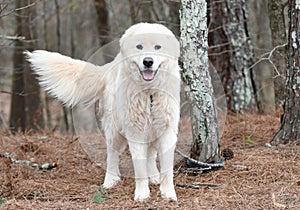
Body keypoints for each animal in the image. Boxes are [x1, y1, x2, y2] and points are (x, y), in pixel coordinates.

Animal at [25, 22, 180, 201]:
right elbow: (139, 166)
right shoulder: (135, 131)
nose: (148, 62)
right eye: (139, 46)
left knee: (150, 155)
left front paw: (168, 194)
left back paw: (154, 177)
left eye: (158, 46)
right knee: (112, 155)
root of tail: (110, 65)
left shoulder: (166, 130)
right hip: (115, 130)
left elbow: (166, 168)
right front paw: (142, 195)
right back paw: (110, 181)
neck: (149, 92)